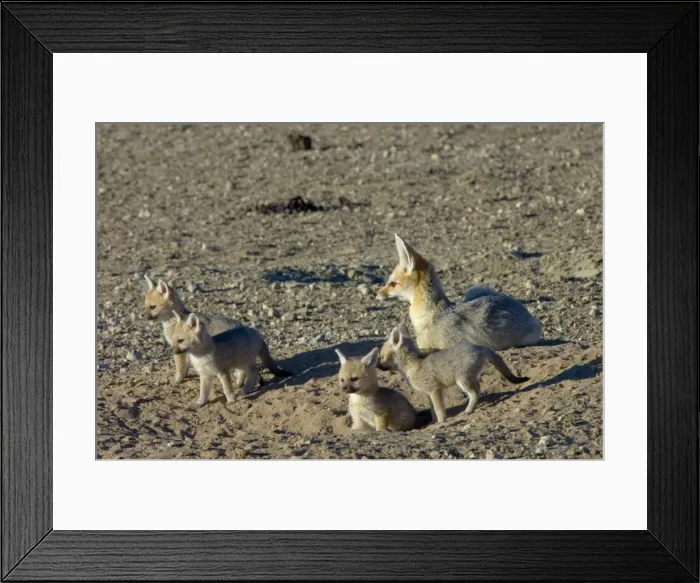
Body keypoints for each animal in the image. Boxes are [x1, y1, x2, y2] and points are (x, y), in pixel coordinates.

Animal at [379, 326, 529, 423]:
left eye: (381, 357)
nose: (377, 366)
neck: (413, 365)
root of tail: (480, 347)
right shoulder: (430, 393)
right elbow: (433, 411)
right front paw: (434, 422)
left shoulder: (435, 390)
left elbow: (439, 410)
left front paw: (441, 422)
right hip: (469, 379)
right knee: (478, 390)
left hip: (462, 381)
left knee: (474, 393)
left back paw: (468, 410)